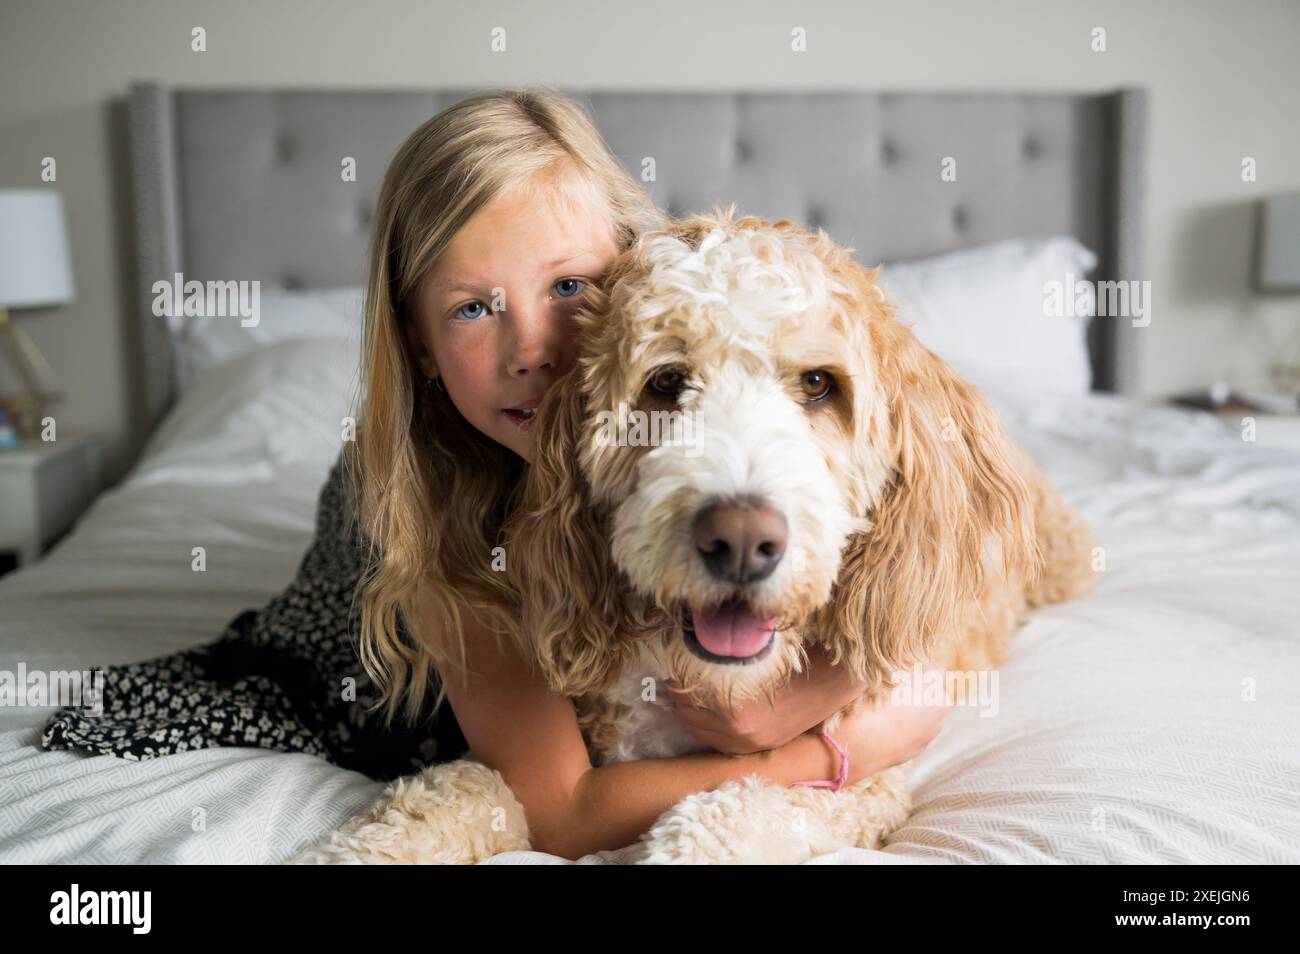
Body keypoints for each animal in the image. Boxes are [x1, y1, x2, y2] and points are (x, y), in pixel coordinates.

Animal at [297, 213, 1097, 868]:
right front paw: (372, 844)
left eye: (818, 385)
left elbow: (744, 808)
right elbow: (471, 787)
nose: (740, 539)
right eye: (665, 382)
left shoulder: (865, 781)